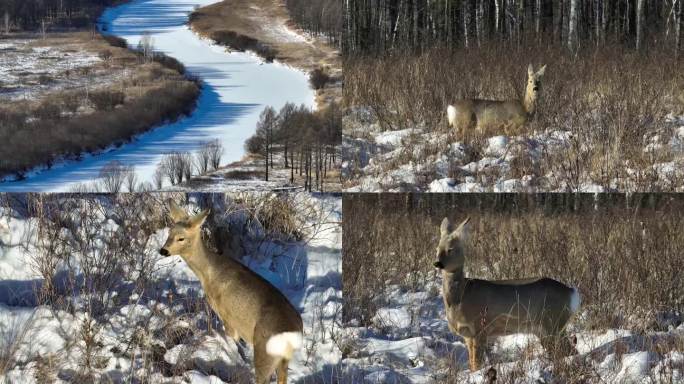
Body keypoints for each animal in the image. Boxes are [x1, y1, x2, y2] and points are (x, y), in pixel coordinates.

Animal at [160, 201, 302, 384]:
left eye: (181, 238)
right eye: (169, 233)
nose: (163, 251)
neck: (209, 272)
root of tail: (293, 334)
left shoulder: (227, 316)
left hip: (265, 352)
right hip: (283, 359)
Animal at [432, 219, 576, 372]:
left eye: (451, 249)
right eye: (437, 248)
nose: (437, 263)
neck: (461, 296)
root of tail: (572, 293)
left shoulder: (479, 328)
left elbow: (477, 364)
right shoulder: (468, 336)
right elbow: (472, 363)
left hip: (553, 322)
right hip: (545, 329)